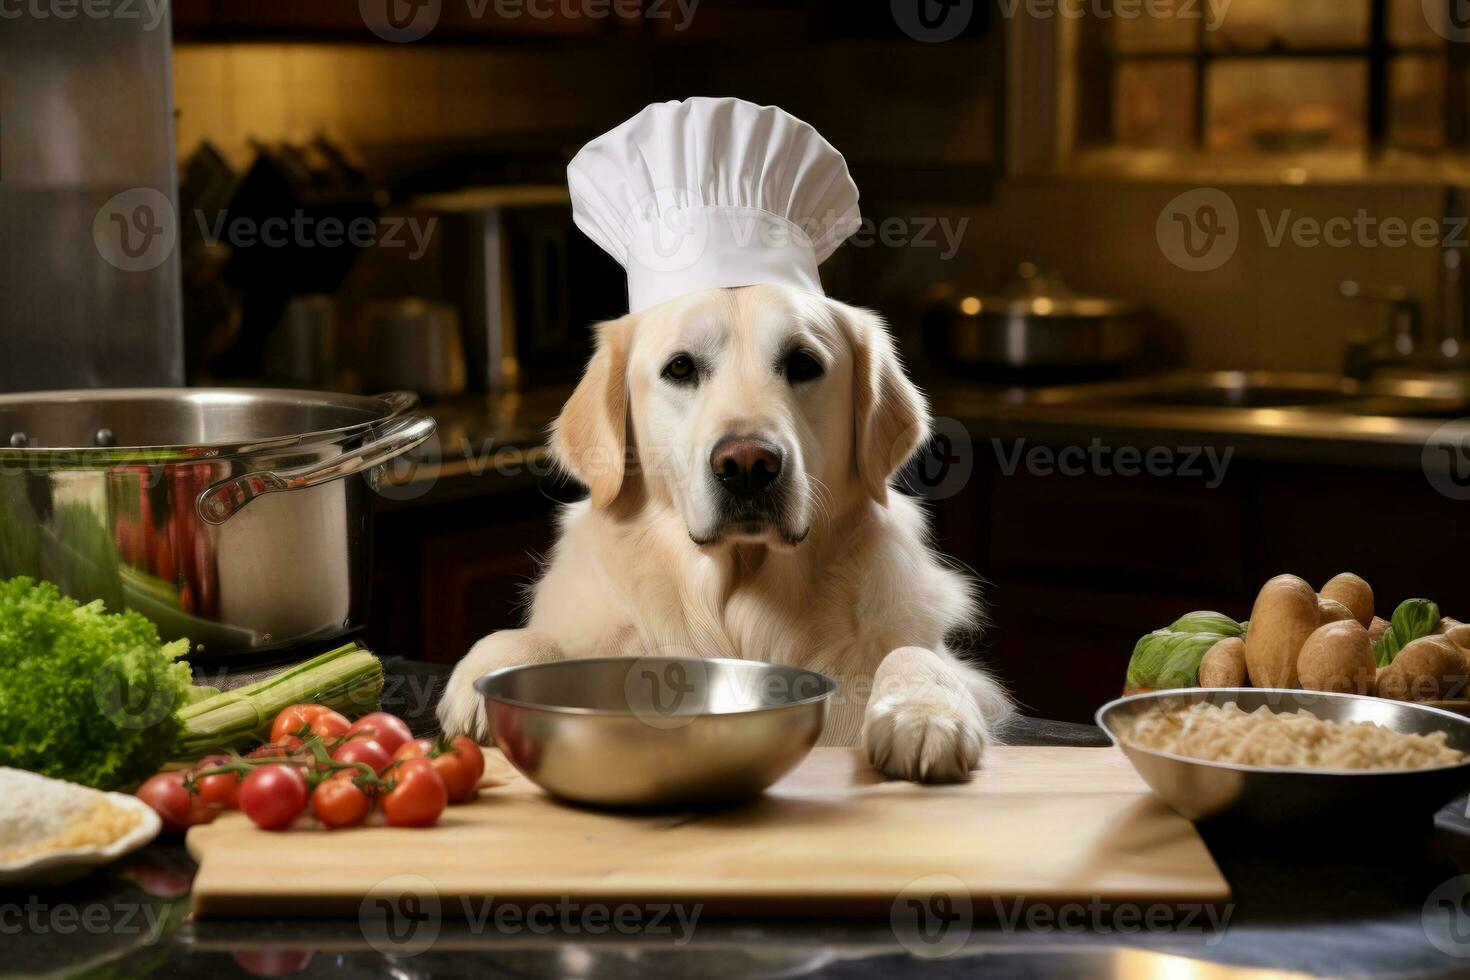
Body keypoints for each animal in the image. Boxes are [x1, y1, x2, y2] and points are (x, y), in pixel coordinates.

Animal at [435, 282, 1011, 781]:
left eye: (803, 363)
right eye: (681, 368)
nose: (749, 465)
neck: (739, 596)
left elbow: (913, 653)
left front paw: (924, 714)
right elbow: (538, 638)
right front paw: (484, 679)